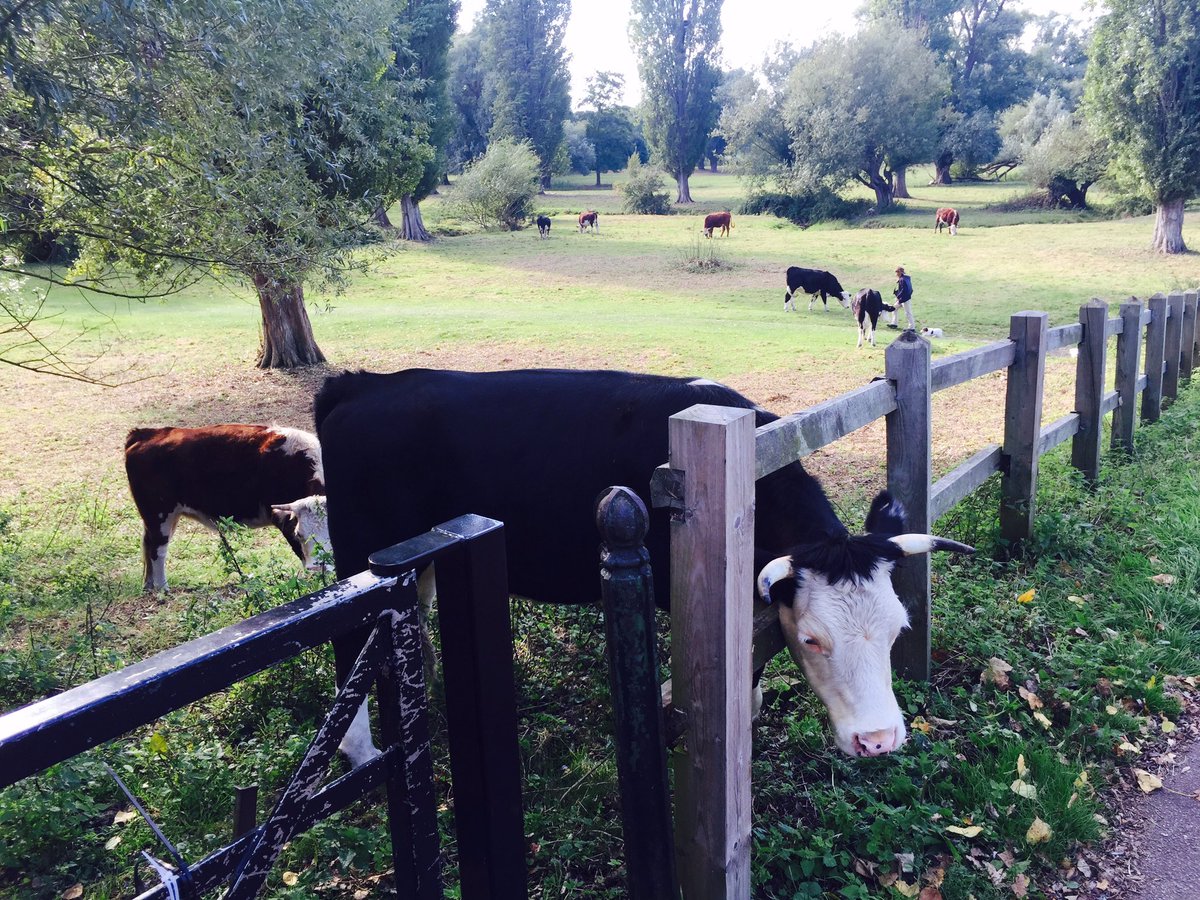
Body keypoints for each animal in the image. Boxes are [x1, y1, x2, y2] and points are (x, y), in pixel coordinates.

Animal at [124, 427, 331, 595]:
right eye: (300, 534)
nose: (319, 568)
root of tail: (146, 433)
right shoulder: (284, 521)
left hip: (161, 518)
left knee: (148, 544)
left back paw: (149, 585)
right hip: (160, 515)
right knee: (158, 550)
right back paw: (162, 589)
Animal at [316, 367, 974, 763]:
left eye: (898, 629)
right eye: (813, 639)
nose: (879, 740)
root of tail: (361, 385)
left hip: (416, 563)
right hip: (360, 558)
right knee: (349, 648)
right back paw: (362, 752)